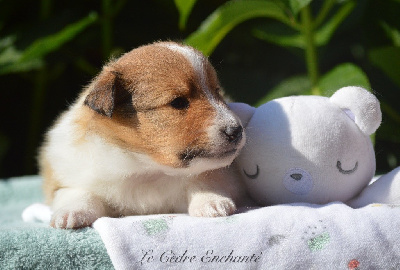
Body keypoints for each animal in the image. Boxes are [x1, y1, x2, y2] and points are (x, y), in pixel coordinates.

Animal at [41, 41, 247, 229]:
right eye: (178, 102)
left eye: (217, 92)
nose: (236, 130)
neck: (147, 169)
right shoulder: (67, 174)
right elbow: (77, 192)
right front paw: (71, 213)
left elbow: (205, 180)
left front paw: (212, 202)